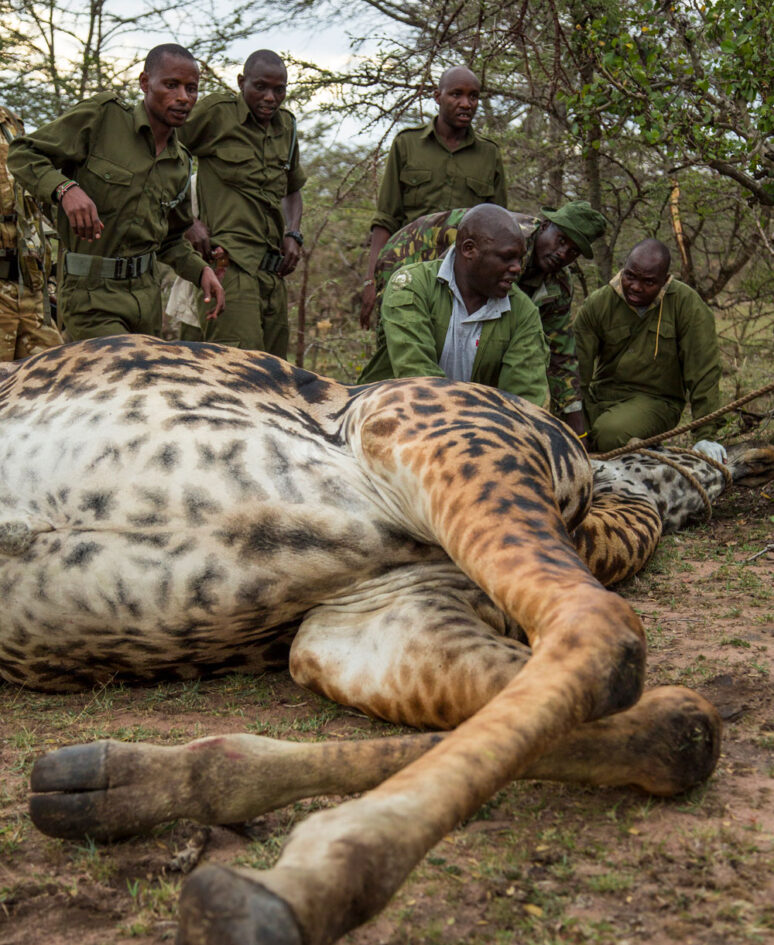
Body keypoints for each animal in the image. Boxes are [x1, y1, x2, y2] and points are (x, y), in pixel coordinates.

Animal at [0, 340, 772, 944]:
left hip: (421, 439)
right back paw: (127, 790)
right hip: (366, 622)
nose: (733, 465)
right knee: (677, 720)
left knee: (606, 632)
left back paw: (290, 886)